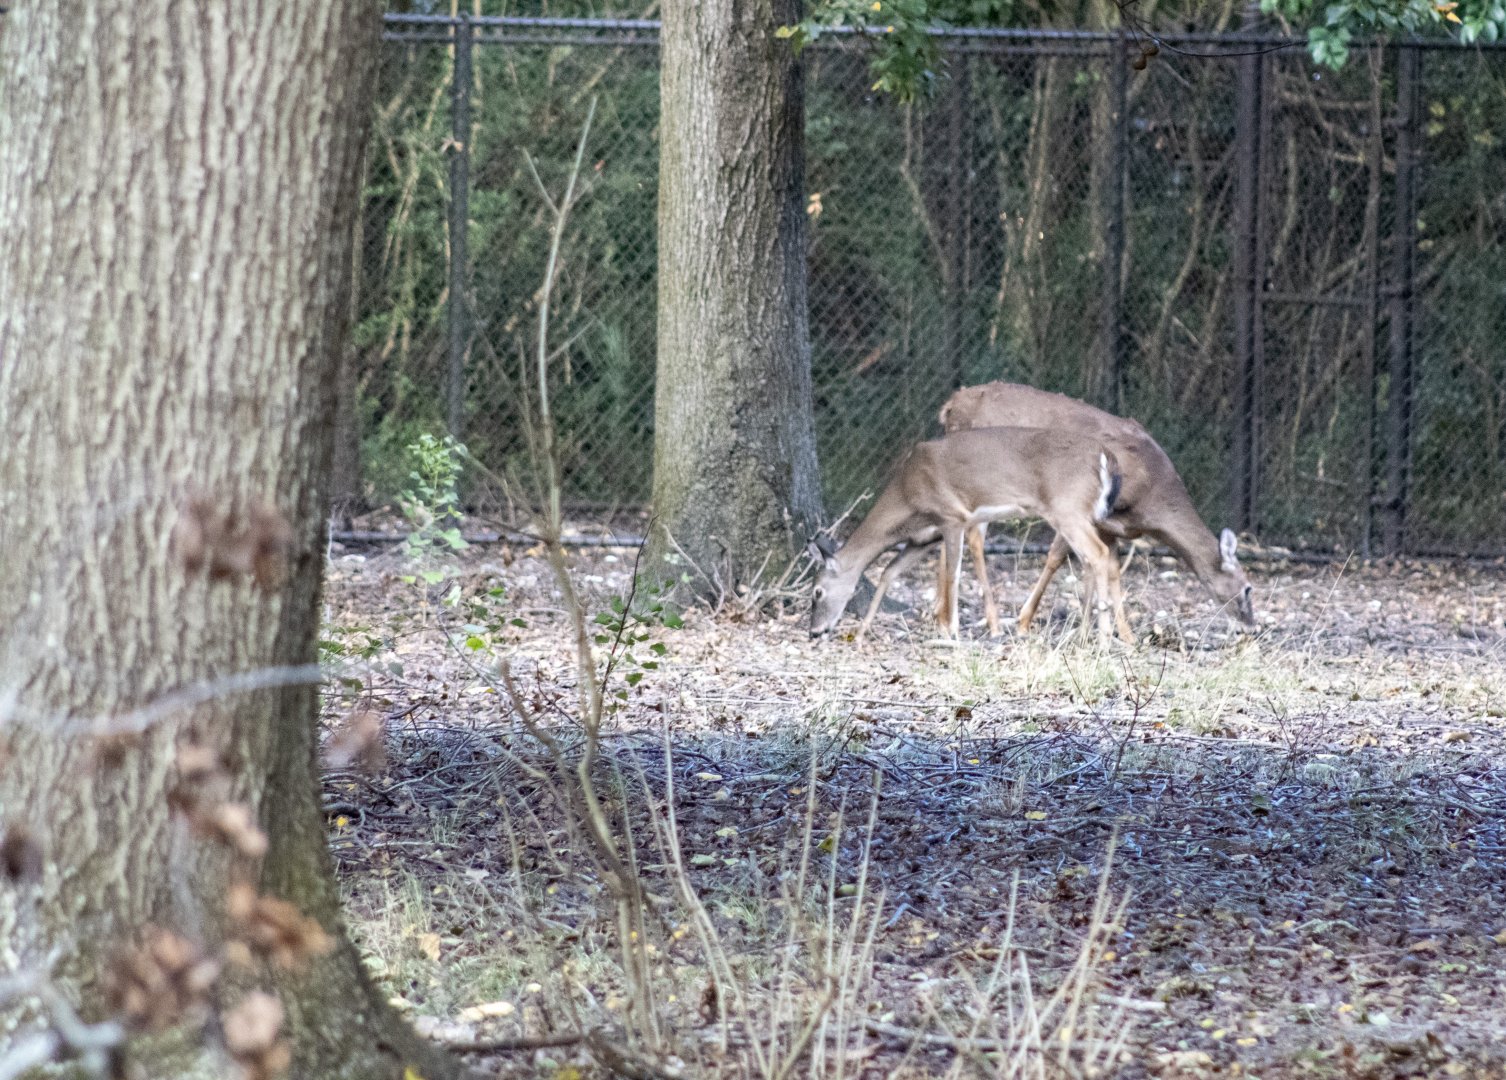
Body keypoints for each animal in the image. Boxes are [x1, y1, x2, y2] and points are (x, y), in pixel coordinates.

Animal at [807, 426, 1132, 642]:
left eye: (817, 592)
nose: (813, 631)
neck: (907, 495)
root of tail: (1107, 457)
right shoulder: (924, 536)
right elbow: (889, 572)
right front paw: (862, 631)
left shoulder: (953, 517)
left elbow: (953, 574)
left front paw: (951, 631)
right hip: (1085, 513)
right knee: (1096, 559)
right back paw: (1087, 635)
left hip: (1068, 508)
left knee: (1098, 554)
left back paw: (1103, 638)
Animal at [932, 381, 1255, 638]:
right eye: (1246, 588)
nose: (1252, 627)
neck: (1153, 496)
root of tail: (950, 407)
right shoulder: (1077, 508)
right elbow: (1058, 558)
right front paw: (1027, 620)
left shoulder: (1108, 525)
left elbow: (1107, 569)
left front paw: (1116, 633)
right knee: (973, 539)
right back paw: (990, 621)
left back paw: (940, 614)